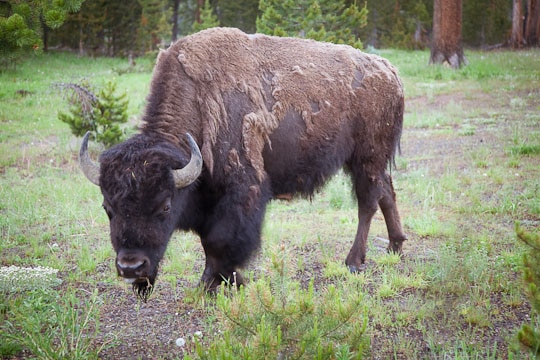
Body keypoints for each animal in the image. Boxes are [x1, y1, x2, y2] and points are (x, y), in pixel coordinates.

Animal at [80, 27, 408, 300]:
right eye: (107, 208)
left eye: (165, 206)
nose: (131, 267)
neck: (198, 101)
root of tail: (390, 72)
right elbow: (208, 242)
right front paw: (230, 281)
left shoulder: (242, 191)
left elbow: (219, 241)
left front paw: (213, 285)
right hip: (370, 162)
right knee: (387, 192)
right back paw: (395, 247)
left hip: (366, 158)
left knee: (368, 202)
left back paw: (354, 261)